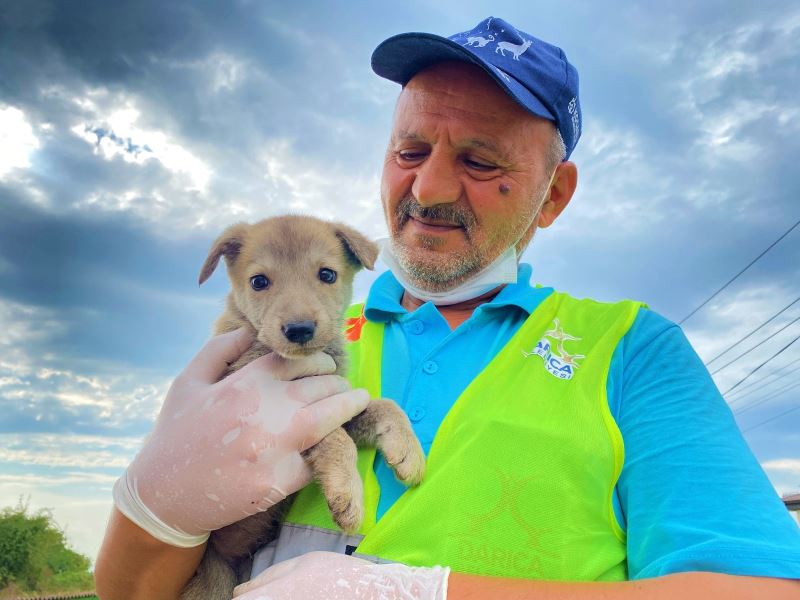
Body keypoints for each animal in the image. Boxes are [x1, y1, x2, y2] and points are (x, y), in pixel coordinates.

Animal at [179, 216, 428, 600]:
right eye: (259, 281)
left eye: (327, 274)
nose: (299, 329)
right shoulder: (295, 415)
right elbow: (337, 439)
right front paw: (348, 495)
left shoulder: (335, 400)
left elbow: (383, 406)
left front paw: (407, 452)